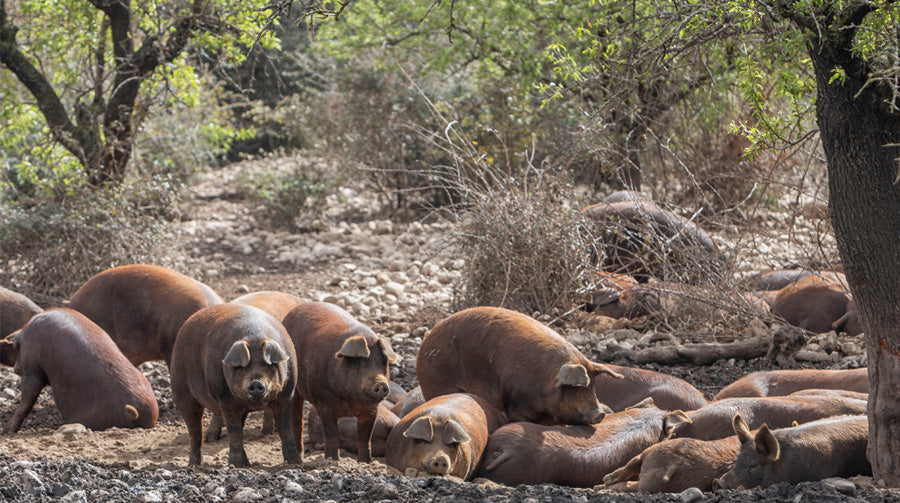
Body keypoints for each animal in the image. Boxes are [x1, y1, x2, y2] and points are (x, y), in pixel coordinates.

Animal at [169, 303, 299, 467]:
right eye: (242, 367)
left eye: (268, 365)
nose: (256, 382)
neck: (254, 336)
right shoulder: (225, 399)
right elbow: (234, 430)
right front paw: (234, 465)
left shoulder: (287, 395)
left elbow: (285, 428)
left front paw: (296, 462)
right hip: (181, 388)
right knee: (195, 430)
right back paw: (194, 465)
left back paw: (247, 464)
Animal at [283, 301, 398, 462]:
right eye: (356, 361)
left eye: (383, 362)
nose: (380, 384)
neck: (351, 401)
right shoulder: (324, 404)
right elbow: (331, 435)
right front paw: (333, 460)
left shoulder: (371, 409)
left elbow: (365, 438)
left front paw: (365, 462)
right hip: (295, 387)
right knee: (297, 420)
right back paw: (300, 458)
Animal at [416, 306, 622, 426]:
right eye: (573, 388)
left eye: (593, 386)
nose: (599, 414)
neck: (545, 381)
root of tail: (427, 338)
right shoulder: (516, 404)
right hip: (436, 382)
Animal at [603, 435, 741, 492]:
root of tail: (676, 463)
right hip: (655, 450)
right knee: (631, 467)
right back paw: (606, 480)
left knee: (629, 482)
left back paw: (605, 483)